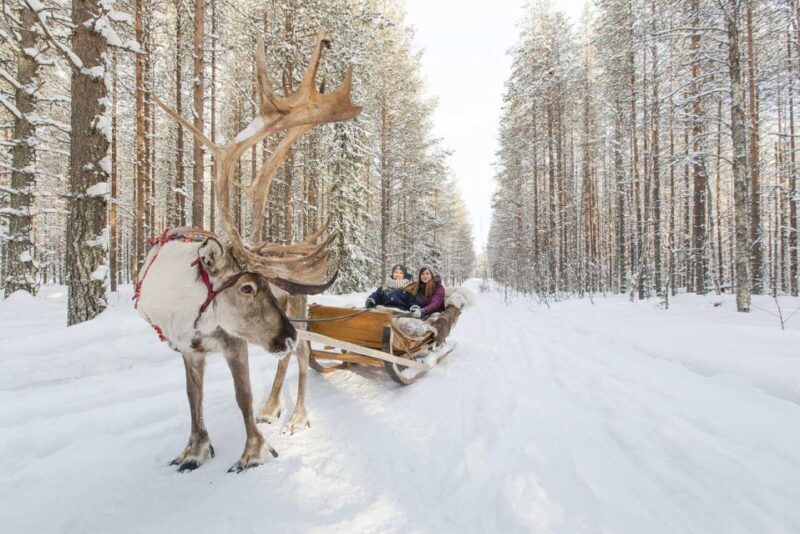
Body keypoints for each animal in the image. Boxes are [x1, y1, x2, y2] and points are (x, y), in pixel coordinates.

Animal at [135, 29, 360, 473]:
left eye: (266, 286)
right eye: (247, 288)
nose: (285, 334)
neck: (184, 306)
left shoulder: (234, 342)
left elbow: (242, 396)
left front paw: (253, 453)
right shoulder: (187, 349)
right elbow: (193, 398)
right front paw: (194, 450)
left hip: (299, 309)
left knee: (303, 356)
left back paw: (296, 415)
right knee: (288, 358)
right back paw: (274, 405)